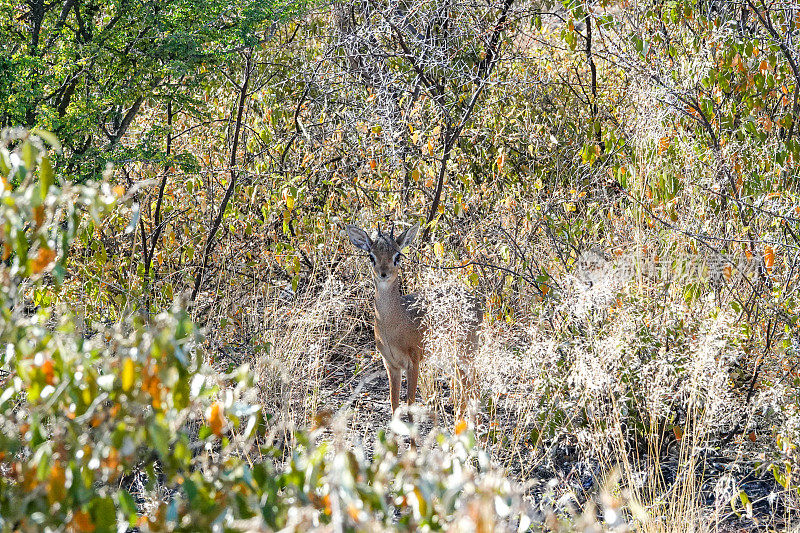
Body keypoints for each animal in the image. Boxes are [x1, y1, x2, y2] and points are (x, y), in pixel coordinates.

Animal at [346, 222, 482, 418]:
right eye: (371, 256)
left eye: (397, 256)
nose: (383, 273)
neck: (394, 325)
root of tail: (476, 301)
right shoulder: (391, 365)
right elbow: (394, 405)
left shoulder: (414, 362)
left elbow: (410, 405)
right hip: (453, 357)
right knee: (466, 387)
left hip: (466, 353)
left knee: (473, 387)